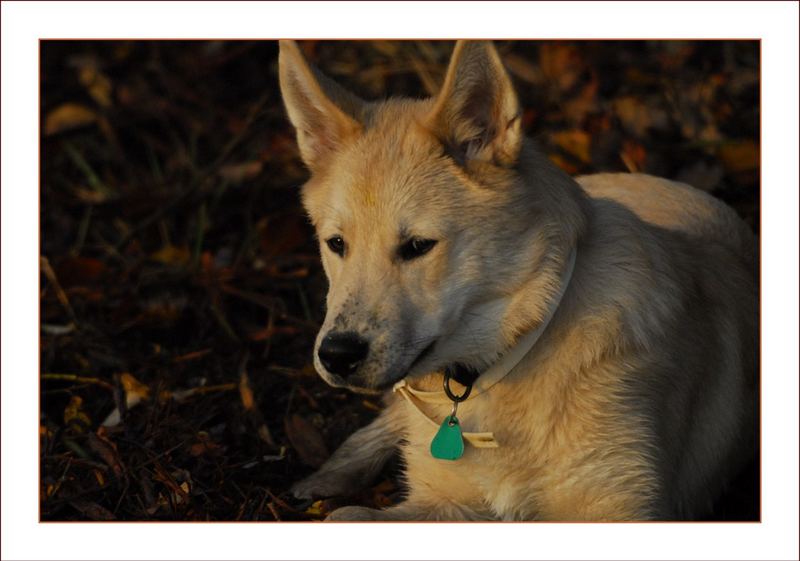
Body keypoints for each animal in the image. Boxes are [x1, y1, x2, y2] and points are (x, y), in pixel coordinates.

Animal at [280, 39, 756, 520]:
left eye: (417, 246)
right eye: (336, 244)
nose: (337, 356)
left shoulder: (621, 508)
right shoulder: (442, 500)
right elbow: (345, 514)